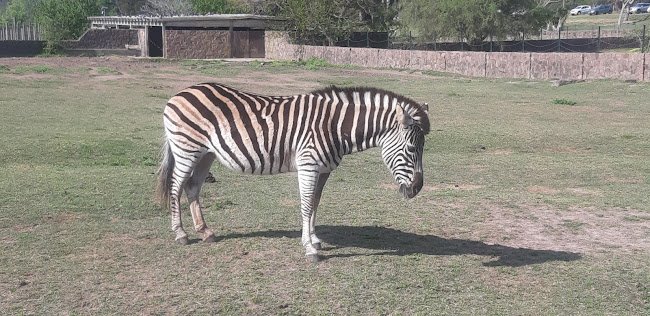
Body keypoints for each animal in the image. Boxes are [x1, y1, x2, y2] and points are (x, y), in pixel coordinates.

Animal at [156, 82, 430, 262]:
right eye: (411, 148)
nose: (417, 188)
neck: (335, 127)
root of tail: (181, 92)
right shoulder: (308, 165)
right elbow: (306, 205)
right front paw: (309, 248)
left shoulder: (324, 170)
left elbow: (316, 203)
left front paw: (314, 238)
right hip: (186, 149)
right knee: (175, 187)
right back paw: (181, 234)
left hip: (207, 153)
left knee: (192, 187)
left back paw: (205, 232)